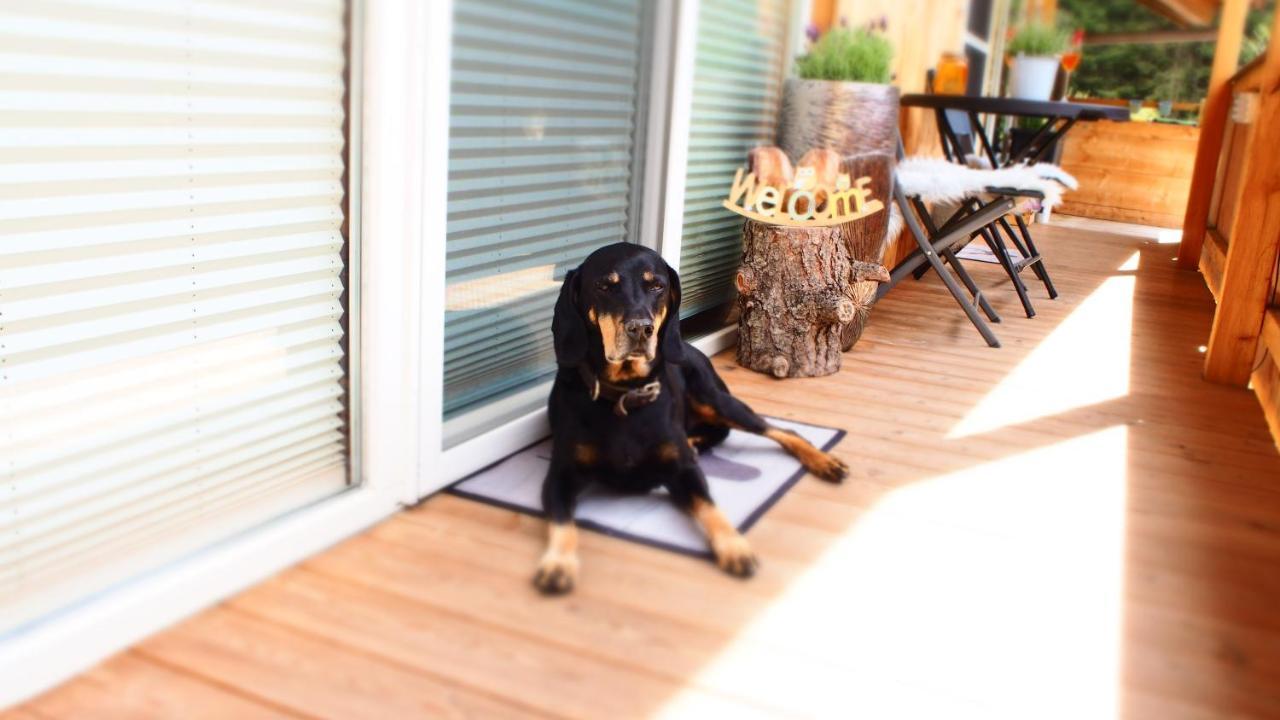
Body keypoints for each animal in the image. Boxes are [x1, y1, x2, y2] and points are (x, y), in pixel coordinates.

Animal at [532, 243, 849, 591]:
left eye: (656, 285)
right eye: (604, 286)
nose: (640, 329)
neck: (626, 394)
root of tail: (691, 348)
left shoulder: (684, 471)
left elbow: (710, 507)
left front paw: (735, 547)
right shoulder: (560, 475)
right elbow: (563, 522)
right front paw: (558, 564)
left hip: (717, 400)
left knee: (780, 431)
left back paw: (823, 461)